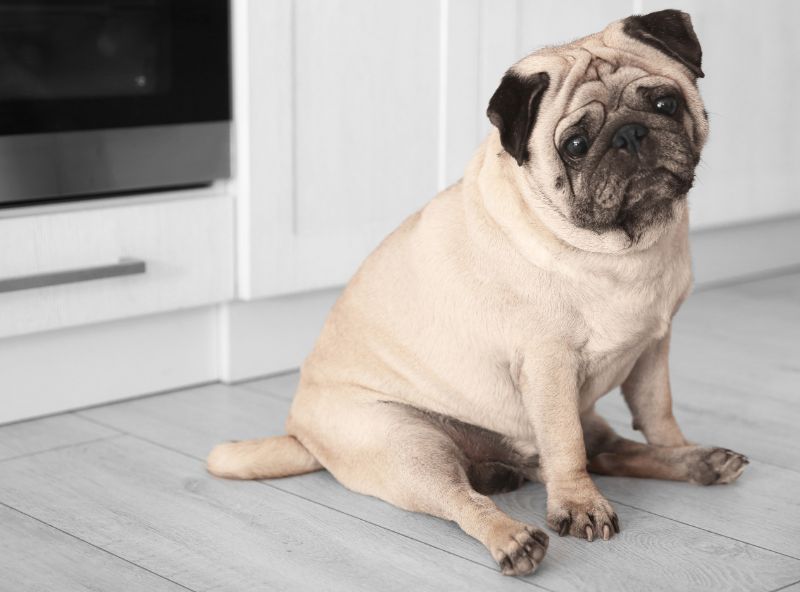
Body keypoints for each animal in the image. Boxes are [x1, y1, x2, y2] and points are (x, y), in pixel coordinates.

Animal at [209, 10, 748, 580]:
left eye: (665, 104)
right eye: (576, 145)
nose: (629, 134)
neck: (621, 250)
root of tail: (300, 435)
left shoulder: (652, 347)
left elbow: (658, 412)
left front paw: (680, 448)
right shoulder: (549, 367)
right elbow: (565, 448)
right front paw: (579, 506)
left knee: (608, 451)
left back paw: (698, 461)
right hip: (408, 444)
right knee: (467, 495)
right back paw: (513, 537)